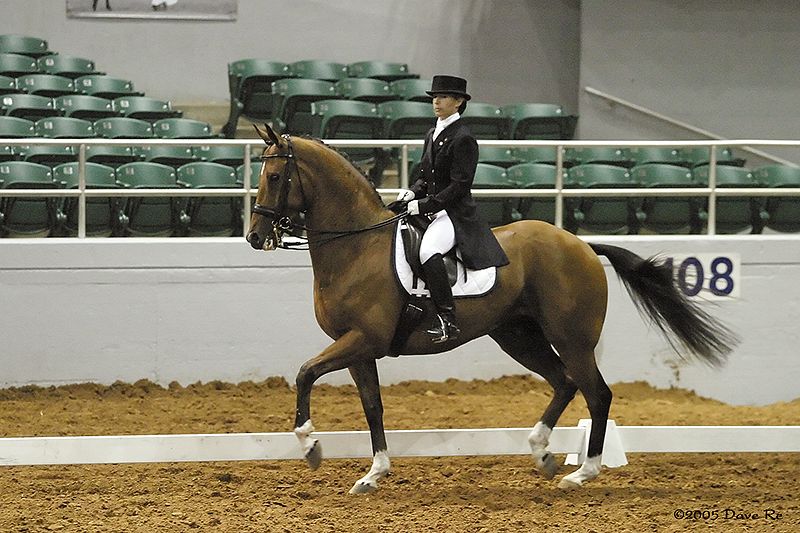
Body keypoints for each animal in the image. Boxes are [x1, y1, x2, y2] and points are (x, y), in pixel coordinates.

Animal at [245, 122, 736, 492]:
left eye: (275, 177)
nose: (254, 237)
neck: (356, 245)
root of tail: (580, 244)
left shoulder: (364, 339)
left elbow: (305, 373)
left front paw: (311, 446)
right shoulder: (359, 348)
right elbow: (373, 407)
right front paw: (373, 475)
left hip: (571, 336)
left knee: (596, 392)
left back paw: (582, 473)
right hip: (517, 335)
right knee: (564, 382)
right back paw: (542, 453)